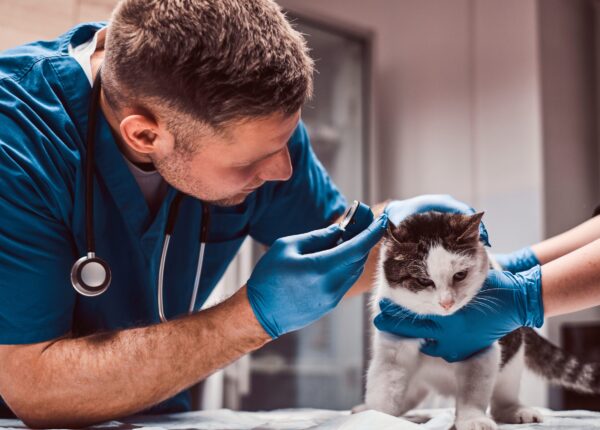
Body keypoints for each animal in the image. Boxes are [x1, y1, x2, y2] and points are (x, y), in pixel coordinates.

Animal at [360, 212, 600, 430]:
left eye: (460, 275)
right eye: (423, 281)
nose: (446, 303)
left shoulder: (482, 349)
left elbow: (473, 392)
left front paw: (472, 420)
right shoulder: (392, 346)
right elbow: (384, 389)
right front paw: (377, 417)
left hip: (512, 356)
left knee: (503, 394)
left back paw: (514, 410)